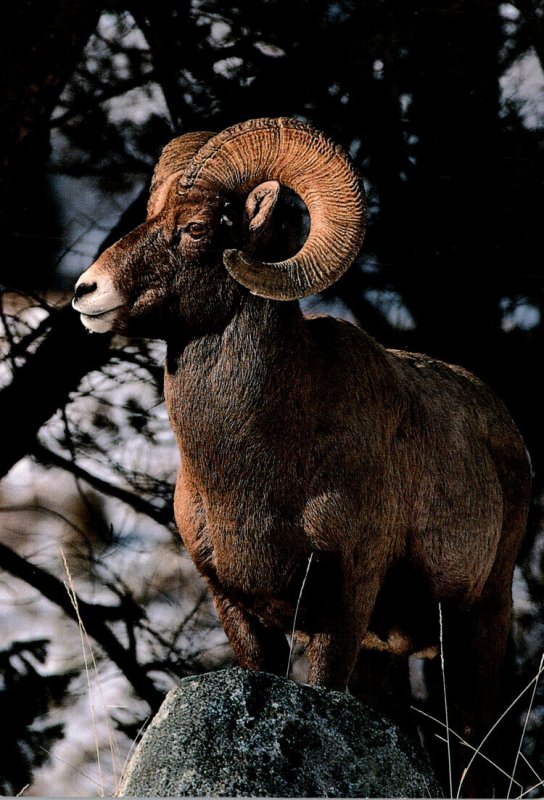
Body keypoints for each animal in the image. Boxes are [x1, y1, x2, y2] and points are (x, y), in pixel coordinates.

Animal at [73, 119, 532, 792]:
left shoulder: (342, 604)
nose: (87, 292)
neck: (257, 468)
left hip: (478, 622)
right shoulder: (238, 607)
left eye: (196, 228)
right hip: (394, 651)